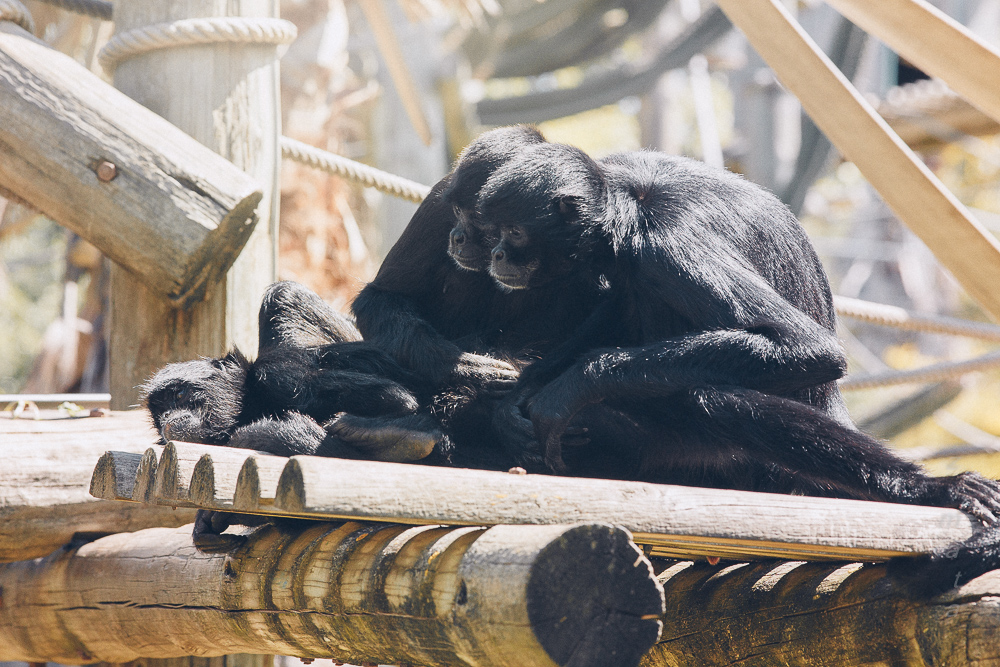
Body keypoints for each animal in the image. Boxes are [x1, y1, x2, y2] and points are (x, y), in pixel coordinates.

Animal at [472, 142, 1000, 596]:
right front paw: (519, 396)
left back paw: (928, 488)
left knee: (708, 397)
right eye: (493, 234)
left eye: (512, 233)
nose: (496, 254)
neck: (629, 197)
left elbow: (806, 348)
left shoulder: (663, 241)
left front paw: (567, 389)